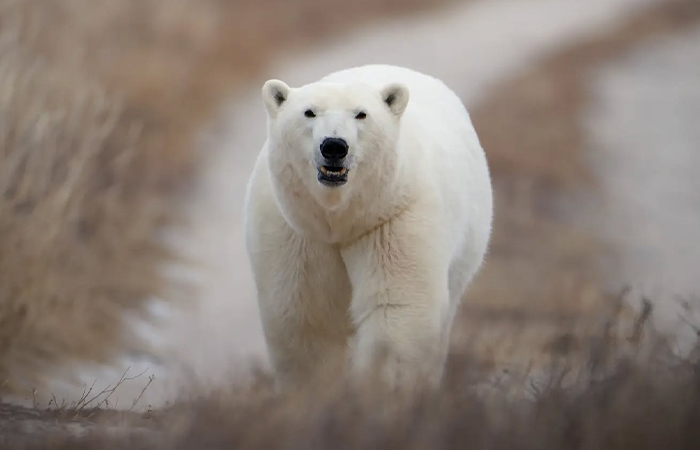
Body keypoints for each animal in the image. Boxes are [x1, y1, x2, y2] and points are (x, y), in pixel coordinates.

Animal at [243, 64, 493, 390]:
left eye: (361, 114)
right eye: (309, 112)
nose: (334, 146)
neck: (339, 218)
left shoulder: (392, 216)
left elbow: (396, 308)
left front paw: (381, 388)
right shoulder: (297, 230)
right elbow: (308, 315)